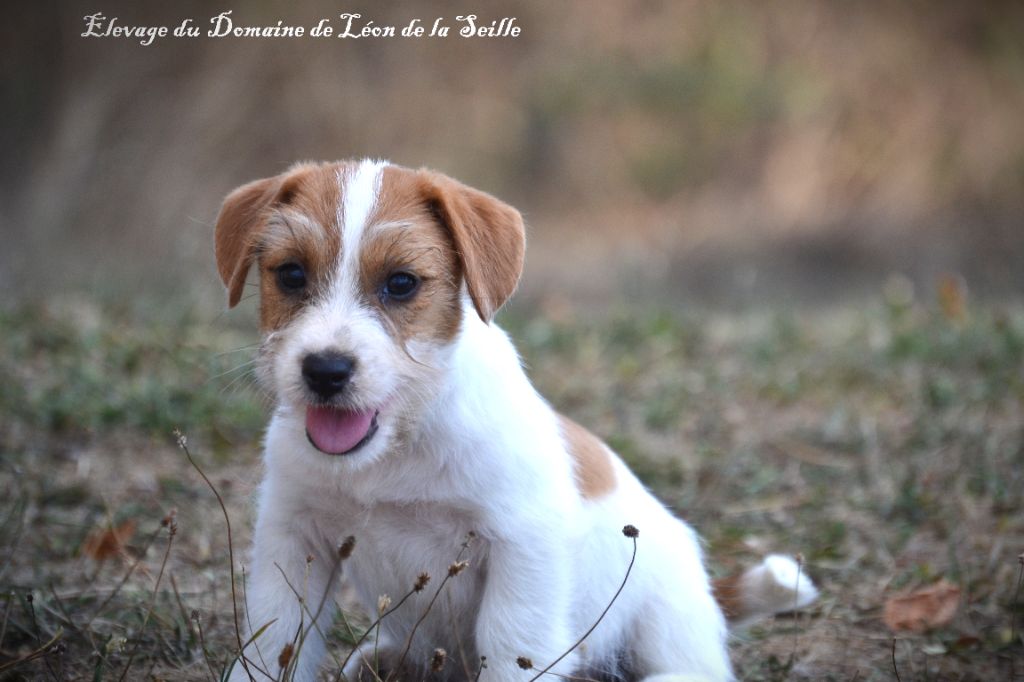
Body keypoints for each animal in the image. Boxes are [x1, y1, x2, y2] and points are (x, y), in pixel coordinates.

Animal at [214, 159, 816, 681]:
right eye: (291, 274)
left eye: (401, 283)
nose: (325, 370)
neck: (398, 448)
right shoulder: (293, 538)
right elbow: (274, 641)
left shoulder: (521, 547)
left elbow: (508, 646)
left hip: (663, 612)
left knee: (693, 668)